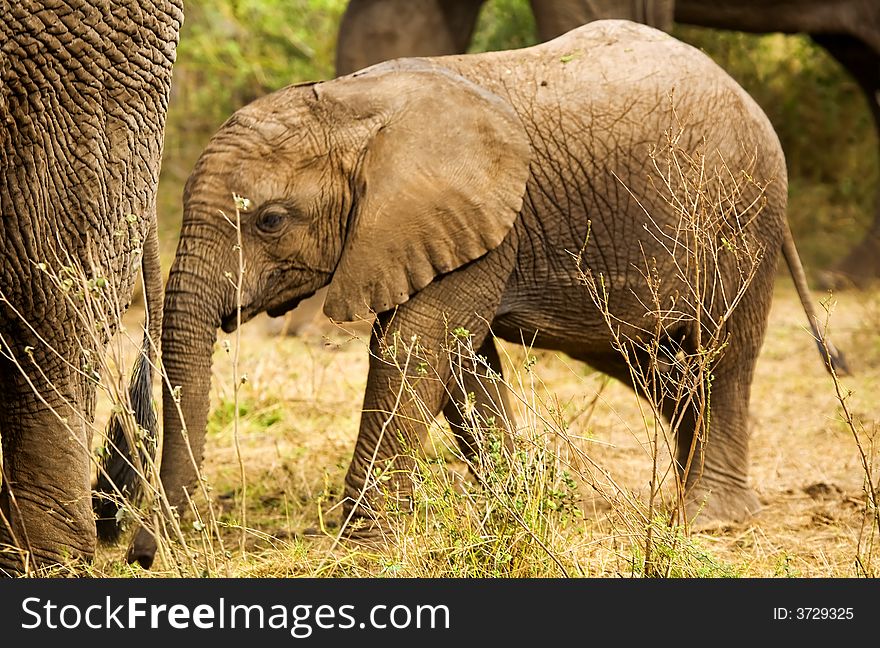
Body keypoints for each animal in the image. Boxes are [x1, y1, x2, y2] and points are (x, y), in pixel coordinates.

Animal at [129, 20, 840, 568]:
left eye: (270, 221)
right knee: (665, 370)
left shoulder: (479, 218)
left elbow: (414, 349)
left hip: (739, 219)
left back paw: (709, 519)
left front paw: (362, 549)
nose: (141, 556)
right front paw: (514, 514)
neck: (351, 104)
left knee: (721, 355)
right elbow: (463, 364)